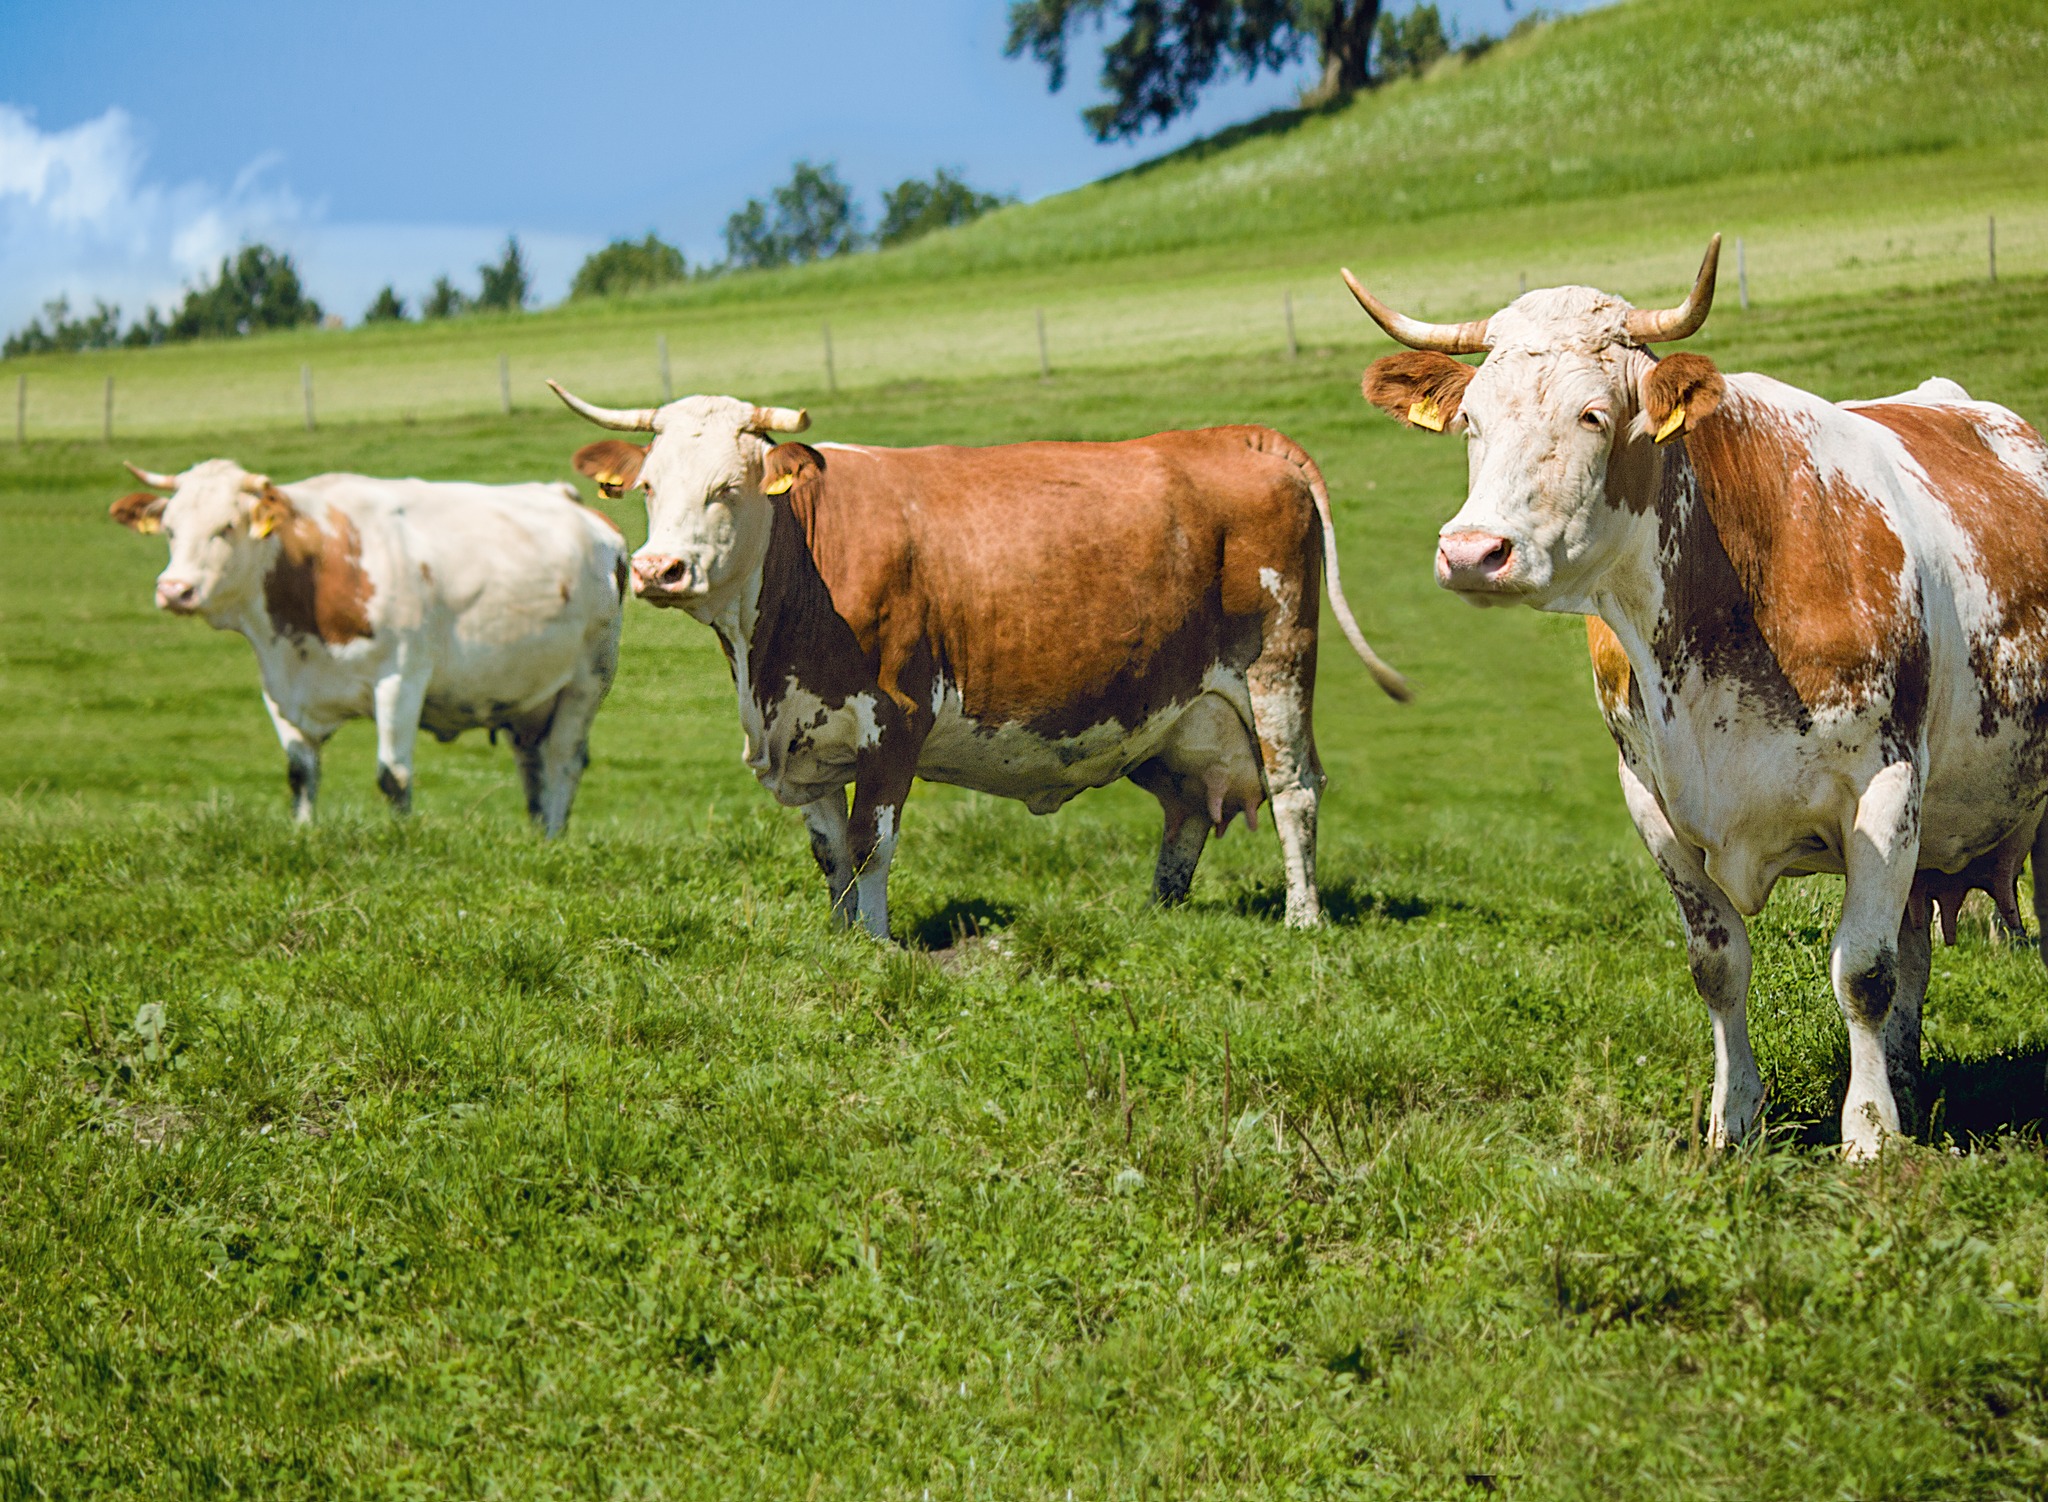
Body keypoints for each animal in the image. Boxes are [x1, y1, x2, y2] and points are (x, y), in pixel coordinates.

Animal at [110, 456, 622, 831]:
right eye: (171, 529)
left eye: (228, 526)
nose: (174, 590)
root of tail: (576, 505)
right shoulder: (279, 687)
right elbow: (301, 774)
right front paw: (303, 834)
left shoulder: (401, 678)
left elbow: (393, 776)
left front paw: (402, 838)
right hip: (524, 697)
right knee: (532, 763)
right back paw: (536, 835)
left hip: (587, 680)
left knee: (563, 760)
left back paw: (553, 837)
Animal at [544, 381, 1409, 930]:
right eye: (649, 488)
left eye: (729, 486)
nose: (658, 571)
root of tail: (1236, 439)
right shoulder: (804, 740)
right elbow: (830, 854)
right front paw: (836, 940)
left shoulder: (895, 723)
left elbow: (870, 847)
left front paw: (876, 944)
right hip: (1174, 712)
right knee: (1189, 805)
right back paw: (1159, 915)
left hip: (1277, 671)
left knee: (1295, 792)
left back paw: (1302, 921)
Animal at [1343, 234, 2048, 1155]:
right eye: (1472, 421)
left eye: (1593, 414)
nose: (1472, 552)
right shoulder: (1650, 799)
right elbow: (1721, 965)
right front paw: (1735, 1119)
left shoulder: (1886, 786)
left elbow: (1861, 971)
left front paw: (1867, 1135)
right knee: (1913, 948)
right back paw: (1902, 1079)